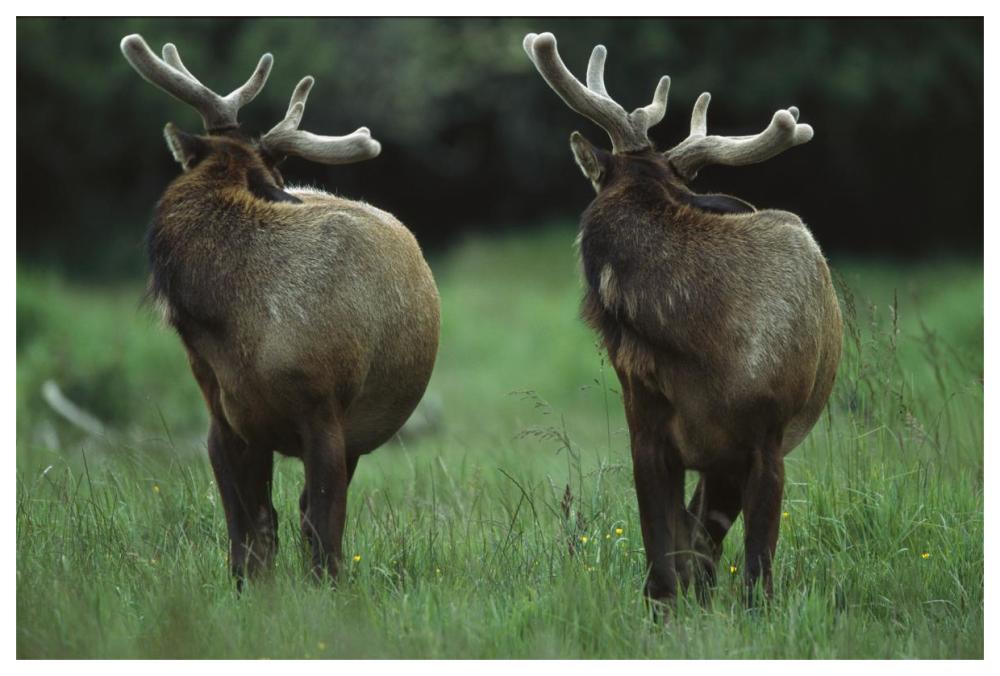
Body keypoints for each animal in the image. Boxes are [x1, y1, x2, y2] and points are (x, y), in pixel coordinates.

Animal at [120, 34, 441, 588]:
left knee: (310, 512)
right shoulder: (223, 419)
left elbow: (322, 528)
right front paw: (249, 591)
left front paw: (326, 592)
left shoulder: (327, 410)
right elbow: (247, 532)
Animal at [523, 32, 842, 608]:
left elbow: (757, 573)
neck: (702, 343)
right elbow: (661, 566)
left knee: (707, 541)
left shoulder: (766, 438)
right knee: (696, 542)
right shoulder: (646, 428)